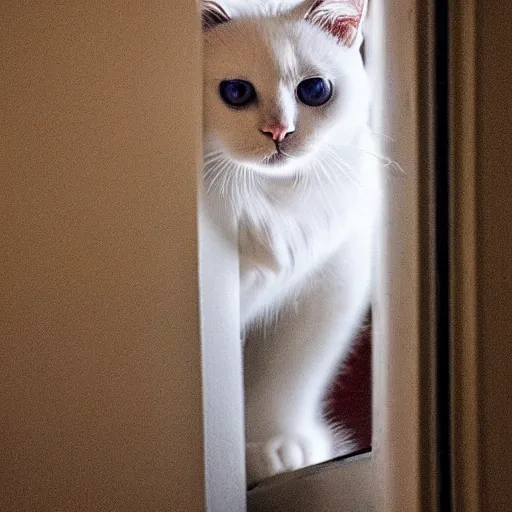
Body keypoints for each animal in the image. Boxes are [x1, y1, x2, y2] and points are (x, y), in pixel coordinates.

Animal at [200, 0, 380, 486]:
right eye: (236, 93)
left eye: (314, 90)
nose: (279, 131)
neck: (269, 201)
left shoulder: (324, 293)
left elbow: (282, 384)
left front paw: (276, 449)